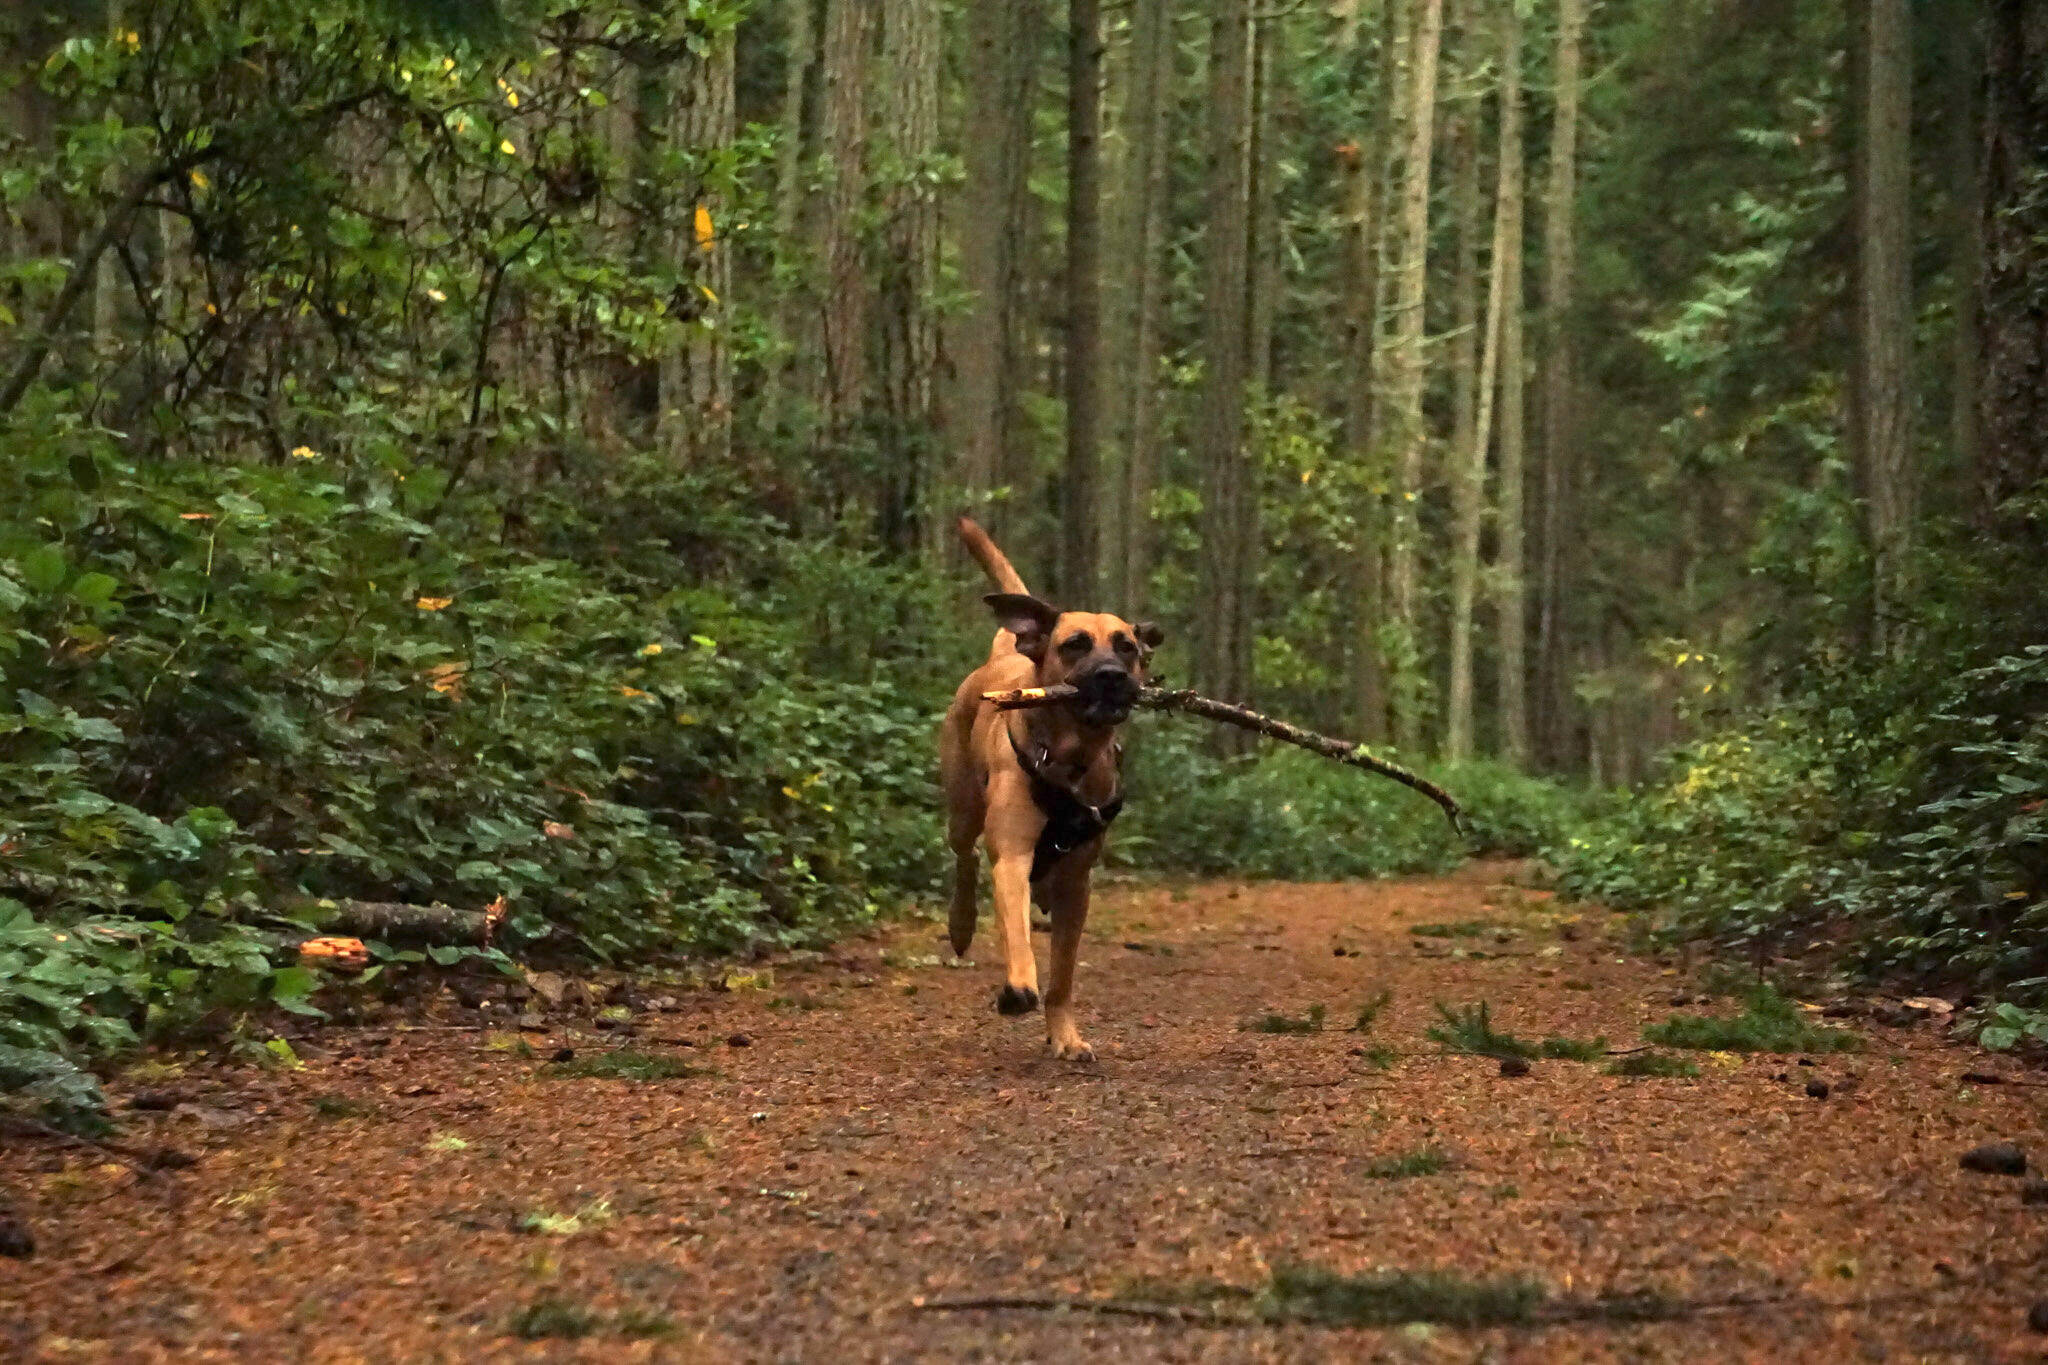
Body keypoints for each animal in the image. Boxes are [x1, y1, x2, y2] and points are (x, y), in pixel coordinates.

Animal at [937, 517, 1163, 1064]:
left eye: (1126, 647)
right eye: (1075, 644)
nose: (1113, 677)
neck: (1070, 758)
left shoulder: (1077, 885)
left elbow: (1062, 975)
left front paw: (1065, 1034)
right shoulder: (1014, 856)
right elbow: (1018, 936)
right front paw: (1019, 989)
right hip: (962, 807)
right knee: (964, 859)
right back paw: (961, 923)